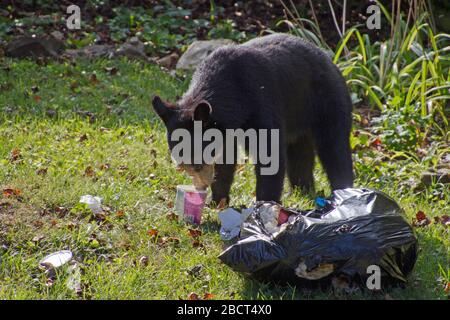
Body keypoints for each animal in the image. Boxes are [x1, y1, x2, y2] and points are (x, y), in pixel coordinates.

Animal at [153, 32, 354, 202]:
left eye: (197, 165)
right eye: (182, 166)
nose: (201, 188)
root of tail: (331, 61)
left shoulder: (261, 102)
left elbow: (270, 153)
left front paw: (265, 204)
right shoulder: (227, 130)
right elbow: (226, 160)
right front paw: (217, 200)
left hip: (328, 102)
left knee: (334, 148)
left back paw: (342, 192)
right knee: (300, 155)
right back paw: (301, 192)